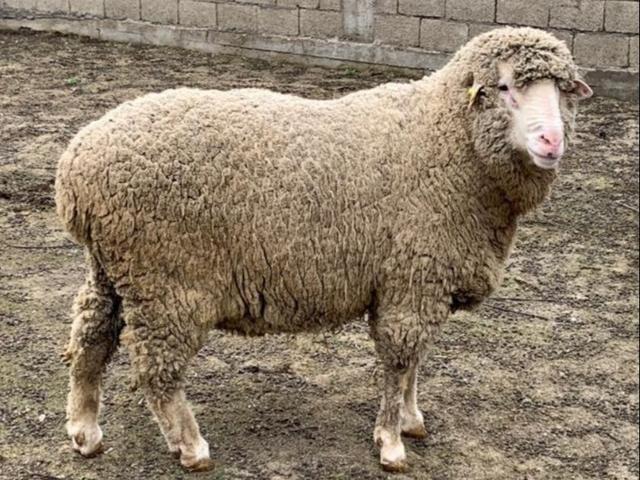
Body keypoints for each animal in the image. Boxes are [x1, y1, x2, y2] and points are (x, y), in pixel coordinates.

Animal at [55, 27, 593, 472]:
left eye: (564, 90)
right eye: (504, 88)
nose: (552, 140)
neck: (449, 142)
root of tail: (75, 167)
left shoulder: (420, 282)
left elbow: (415, 360)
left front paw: (412, 419)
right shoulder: (411, 279)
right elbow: (400, 362)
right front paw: (391, 443)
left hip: (114, 269)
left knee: (90, 336)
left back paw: (85, 431)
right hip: (169, 280)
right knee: (155, 368)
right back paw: (190, 446)